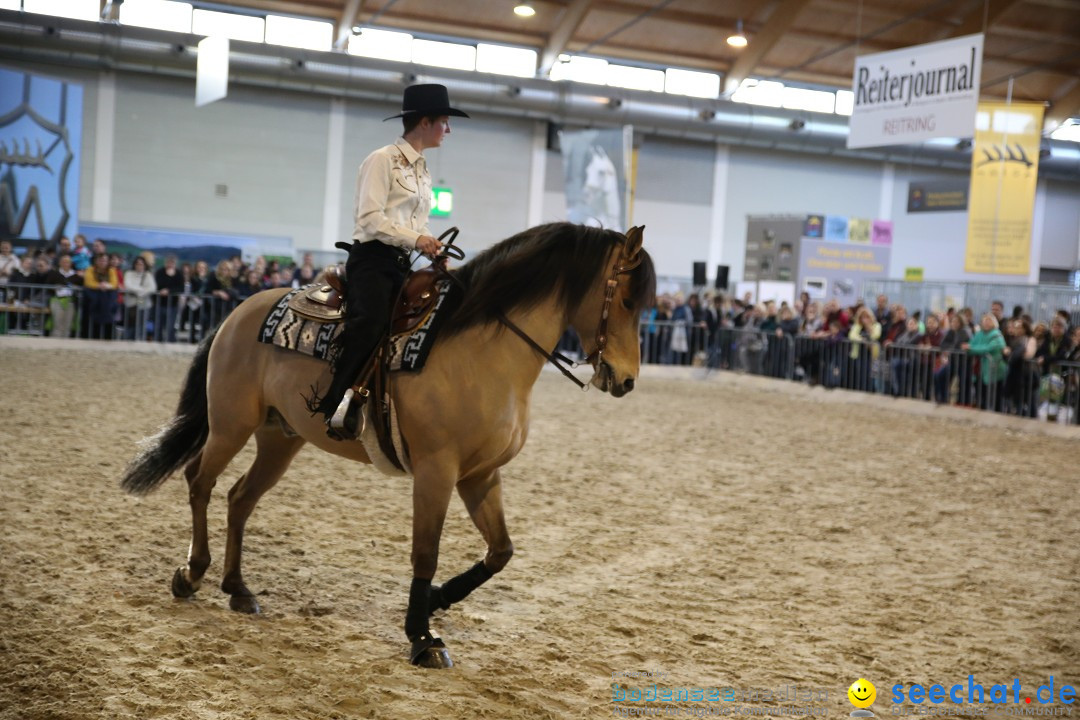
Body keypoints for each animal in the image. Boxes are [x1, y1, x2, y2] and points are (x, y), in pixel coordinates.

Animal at [121, 222, 652, 669]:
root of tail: (239, 311)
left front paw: (436, 601)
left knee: (239, 498)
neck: (483, 351)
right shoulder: (437, 472)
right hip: (231, 425)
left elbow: (501, 550)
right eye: (627, 300)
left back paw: (238, 588)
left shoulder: (481, 475)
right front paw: (423, 637)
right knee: (200, 481)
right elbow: (425, 553)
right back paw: (191, 574)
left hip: (280, 438)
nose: (626, 380)